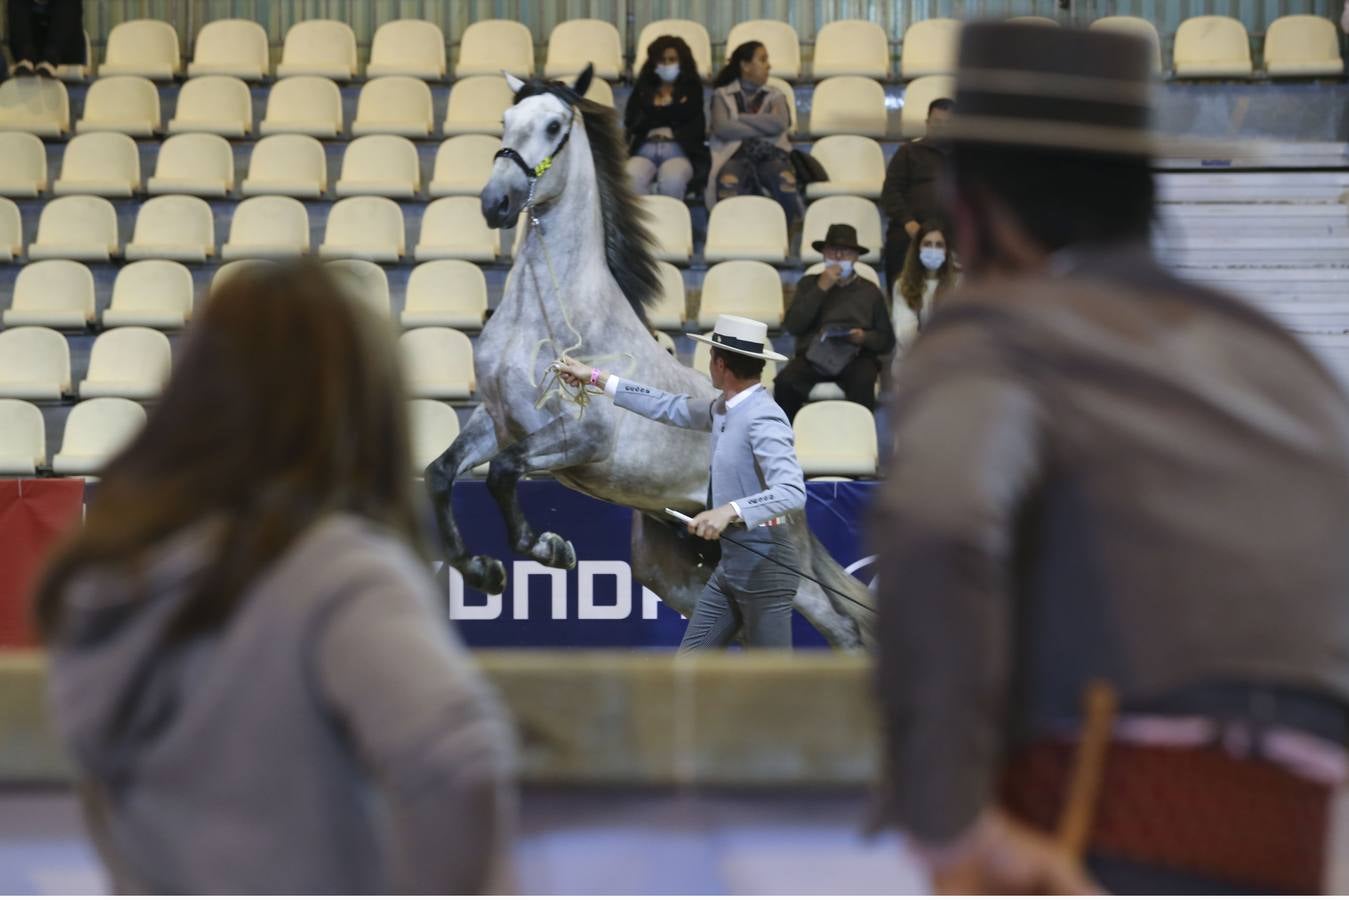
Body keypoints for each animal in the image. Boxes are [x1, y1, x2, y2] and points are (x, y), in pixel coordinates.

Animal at [426, 66, 879, 650]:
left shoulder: (581, 440)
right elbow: (441, 474)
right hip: (674, 570)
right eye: (505, 119)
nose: (495, 203)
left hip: (787, 564)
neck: (547, 314)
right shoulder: (494, 421)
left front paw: (552, 549)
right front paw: (483, 571)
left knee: (843, 627)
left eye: (554, 126)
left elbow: (502, 474)